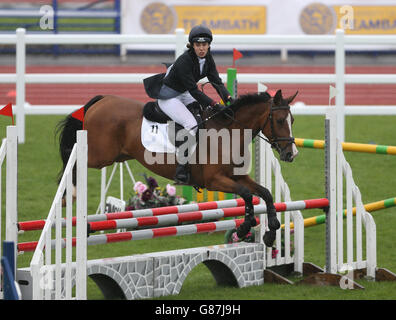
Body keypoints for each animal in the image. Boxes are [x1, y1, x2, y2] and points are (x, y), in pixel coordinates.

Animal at [55, 90, 296, 248]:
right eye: (280, 120)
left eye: (292, 120)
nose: (291, 154)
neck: (229, 133)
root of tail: (102, 100)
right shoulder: (215, 181)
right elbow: (246, 194)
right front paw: (245, 227)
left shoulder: (237, 177)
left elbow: (264, 193)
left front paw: (271, 231)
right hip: (99, 156)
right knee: (71, 160)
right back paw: (71, 199)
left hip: (115, 156)